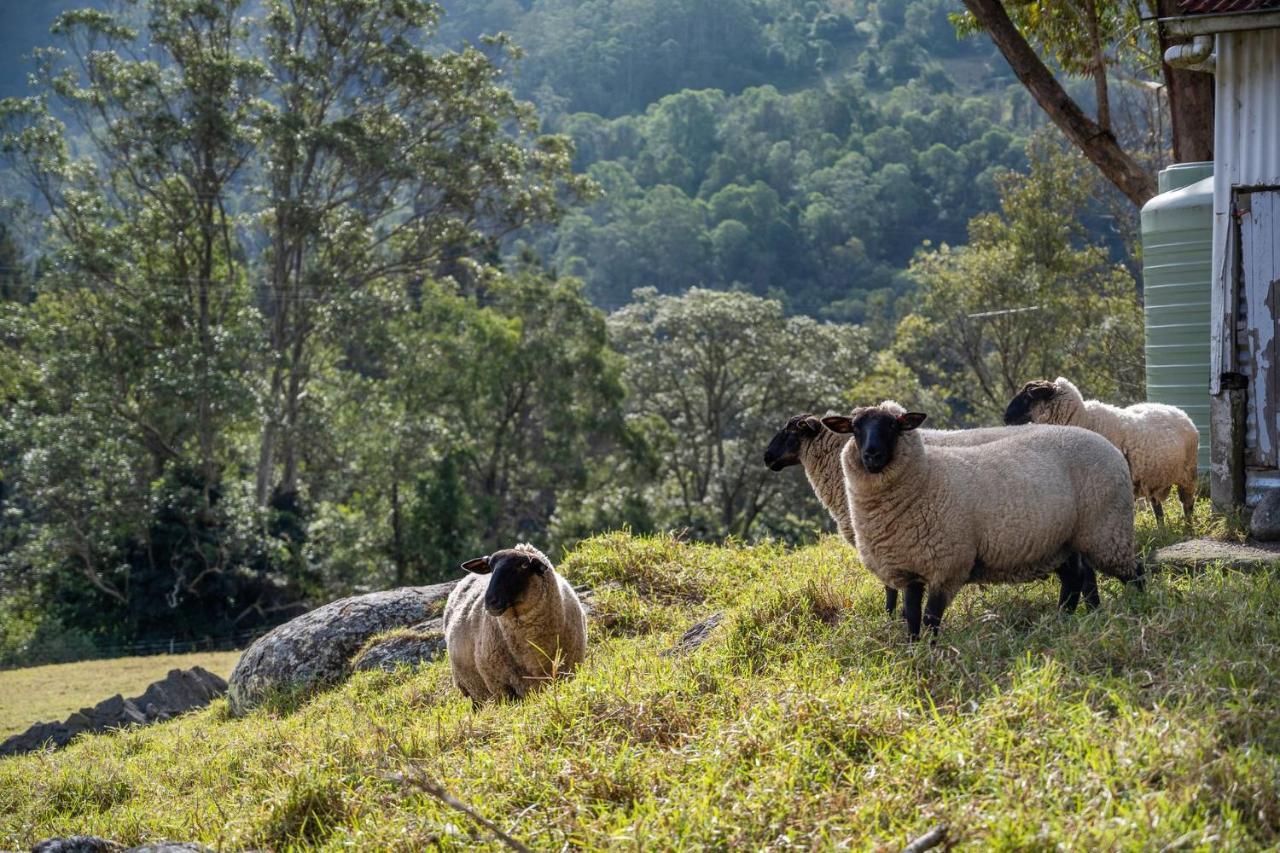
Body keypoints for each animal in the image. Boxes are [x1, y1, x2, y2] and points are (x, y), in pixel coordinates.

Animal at [437, 540, 583, 701]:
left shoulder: (567, 671)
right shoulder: (500, 687)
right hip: (471, 689)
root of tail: (466, 577)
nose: (490, 601)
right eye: (491, 567)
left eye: (523, 566)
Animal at [819, 402, 1141, 635]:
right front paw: (914, 649)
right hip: (1060, 542)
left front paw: (933, 652)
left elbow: (931, 618)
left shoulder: (949, 565)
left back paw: (1142, 606)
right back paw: (1062, 621)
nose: (871, 455)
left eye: (892, 426)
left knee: (1135, 572)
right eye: (855, 428)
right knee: (1074, 581)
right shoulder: (910, 566)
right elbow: (911, 617)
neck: (925, 479)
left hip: (1106, 529)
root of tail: (1110, 447)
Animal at [1003, 376, 1203, 525]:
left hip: (1188, 474)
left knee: (1187, 504)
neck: (1083, 419)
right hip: (1153, 478)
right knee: (1158, 510)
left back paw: (1188, 528)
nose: (1005, 418)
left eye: (1028, 397)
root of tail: (1178, 411)